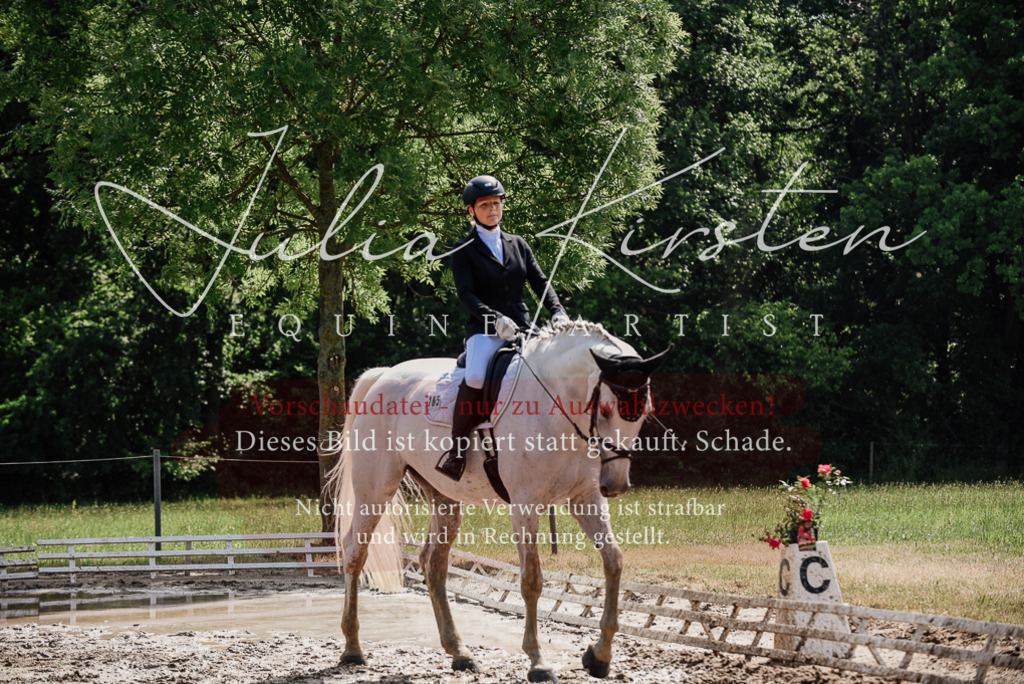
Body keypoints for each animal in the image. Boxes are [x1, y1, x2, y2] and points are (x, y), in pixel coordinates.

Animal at [326, 320, 670, 682]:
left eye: (645, 413)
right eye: (604, 409)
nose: (615, 485)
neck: (557, 406)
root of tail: (383, 375)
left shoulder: (586, 499)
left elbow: (614, 561)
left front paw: (599, 657)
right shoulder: (525, 505)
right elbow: (532, 580)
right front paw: (538, 662)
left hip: (444, 497)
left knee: (433, 563)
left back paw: (460, 653)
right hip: (375, 489)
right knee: (355, 552)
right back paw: (352, 649)